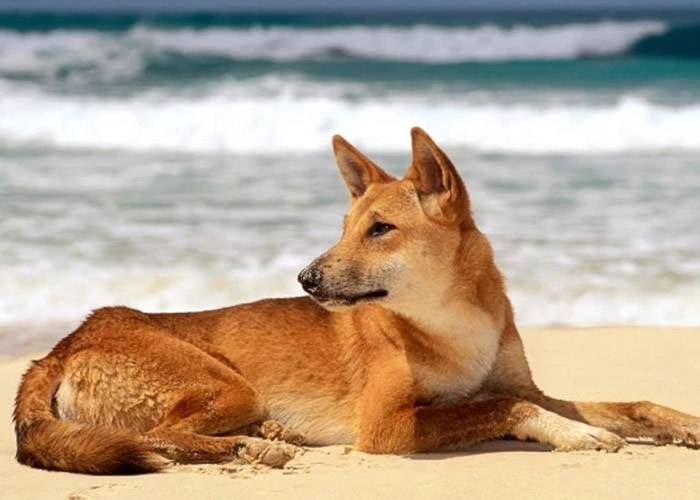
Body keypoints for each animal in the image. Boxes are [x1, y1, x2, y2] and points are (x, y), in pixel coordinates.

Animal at [12, 126, 700, 472]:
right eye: (345, 228)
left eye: (380, 229)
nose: (305, 279)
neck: (452, 327)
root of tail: (65, 341)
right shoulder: (387, 425)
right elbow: (504, 407)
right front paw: (576, 436)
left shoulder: (522, 383)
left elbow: (624, 405)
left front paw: (680, 426)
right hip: (224, 384)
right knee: (163, 435)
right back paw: (253, 447)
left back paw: (269, 432)